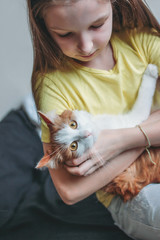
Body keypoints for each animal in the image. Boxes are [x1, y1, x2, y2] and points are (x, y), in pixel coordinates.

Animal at [36, 63, 160, 201]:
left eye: (73, 124)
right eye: (73, 146)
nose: (86, 133)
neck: (101, 127)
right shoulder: (134, 118)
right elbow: (144, 98)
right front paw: (151, 72)